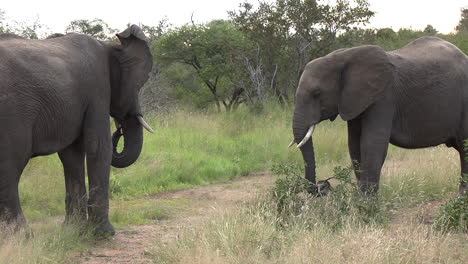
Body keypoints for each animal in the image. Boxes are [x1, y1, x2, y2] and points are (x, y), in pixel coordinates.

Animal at [0, 24, 154, 235]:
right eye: (139, 83)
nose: (120, 130)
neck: (109, 45)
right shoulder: (97, 90)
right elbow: (99, 147)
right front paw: (104, 234)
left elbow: (71, 155)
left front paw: (74, 230)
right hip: (12, 112)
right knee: (11, 166)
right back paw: (23, 238)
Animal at [290, 36, 468, 194]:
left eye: (316, 93)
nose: (323, 185)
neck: (342, 57)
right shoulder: (354, 101)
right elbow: (354, 145)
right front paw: (361, 199)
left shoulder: (384, 97)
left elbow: (372, 143)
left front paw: (367, 204)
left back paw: (462, 195)